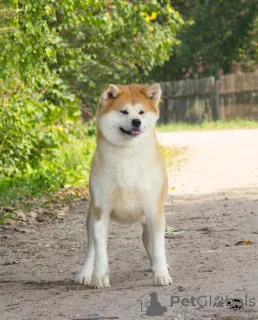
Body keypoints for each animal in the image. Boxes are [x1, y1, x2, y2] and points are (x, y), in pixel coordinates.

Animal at [75, 82, 172, 288]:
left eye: (141, 112)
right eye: (123, 111)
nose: (136, 122)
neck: (127, 154)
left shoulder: (154, 210)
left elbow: (159, 248)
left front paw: (161, 274)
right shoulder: (101, 211)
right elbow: (100, 251)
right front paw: (99, 277)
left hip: (147, 221)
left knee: (149, 242)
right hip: (91, 217)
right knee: (91, 249)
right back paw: (85, 273)